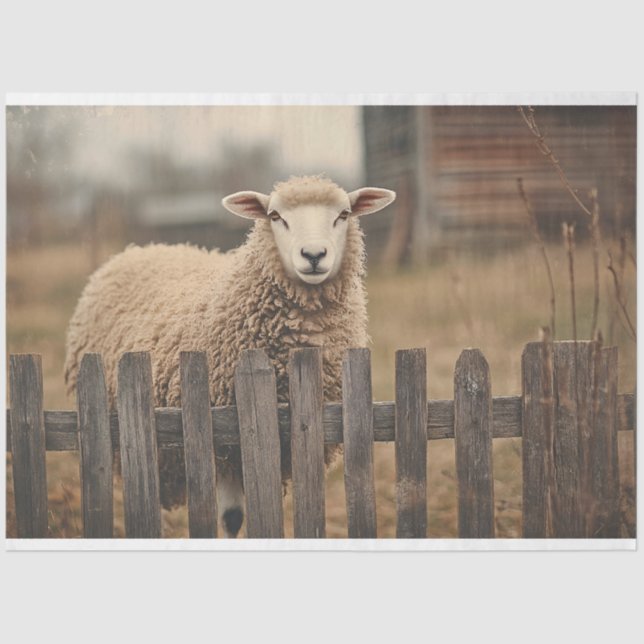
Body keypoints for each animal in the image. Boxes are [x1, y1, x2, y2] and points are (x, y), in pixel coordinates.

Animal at [64, 175, 396, 537]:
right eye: (275, 216)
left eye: (344, 214)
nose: (313, 255)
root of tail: (139, 250)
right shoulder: (223, 442)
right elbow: (231, 517)